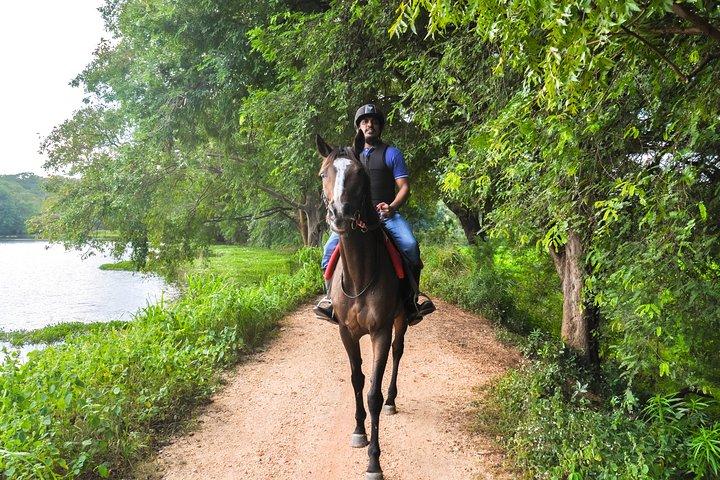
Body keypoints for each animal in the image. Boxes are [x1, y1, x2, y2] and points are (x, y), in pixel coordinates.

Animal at [316, 131, 409, 480]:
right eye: (323, 174)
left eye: (359, 173)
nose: (339, 215)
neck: (360, 275)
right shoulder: (346, 332)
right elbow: (357, 380)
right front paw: (358, 431)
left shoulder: (379, 332)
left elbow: (373, 393)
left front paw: (374, 462)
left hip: (401, 320)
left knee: (398, 352)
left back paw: (393, 400)